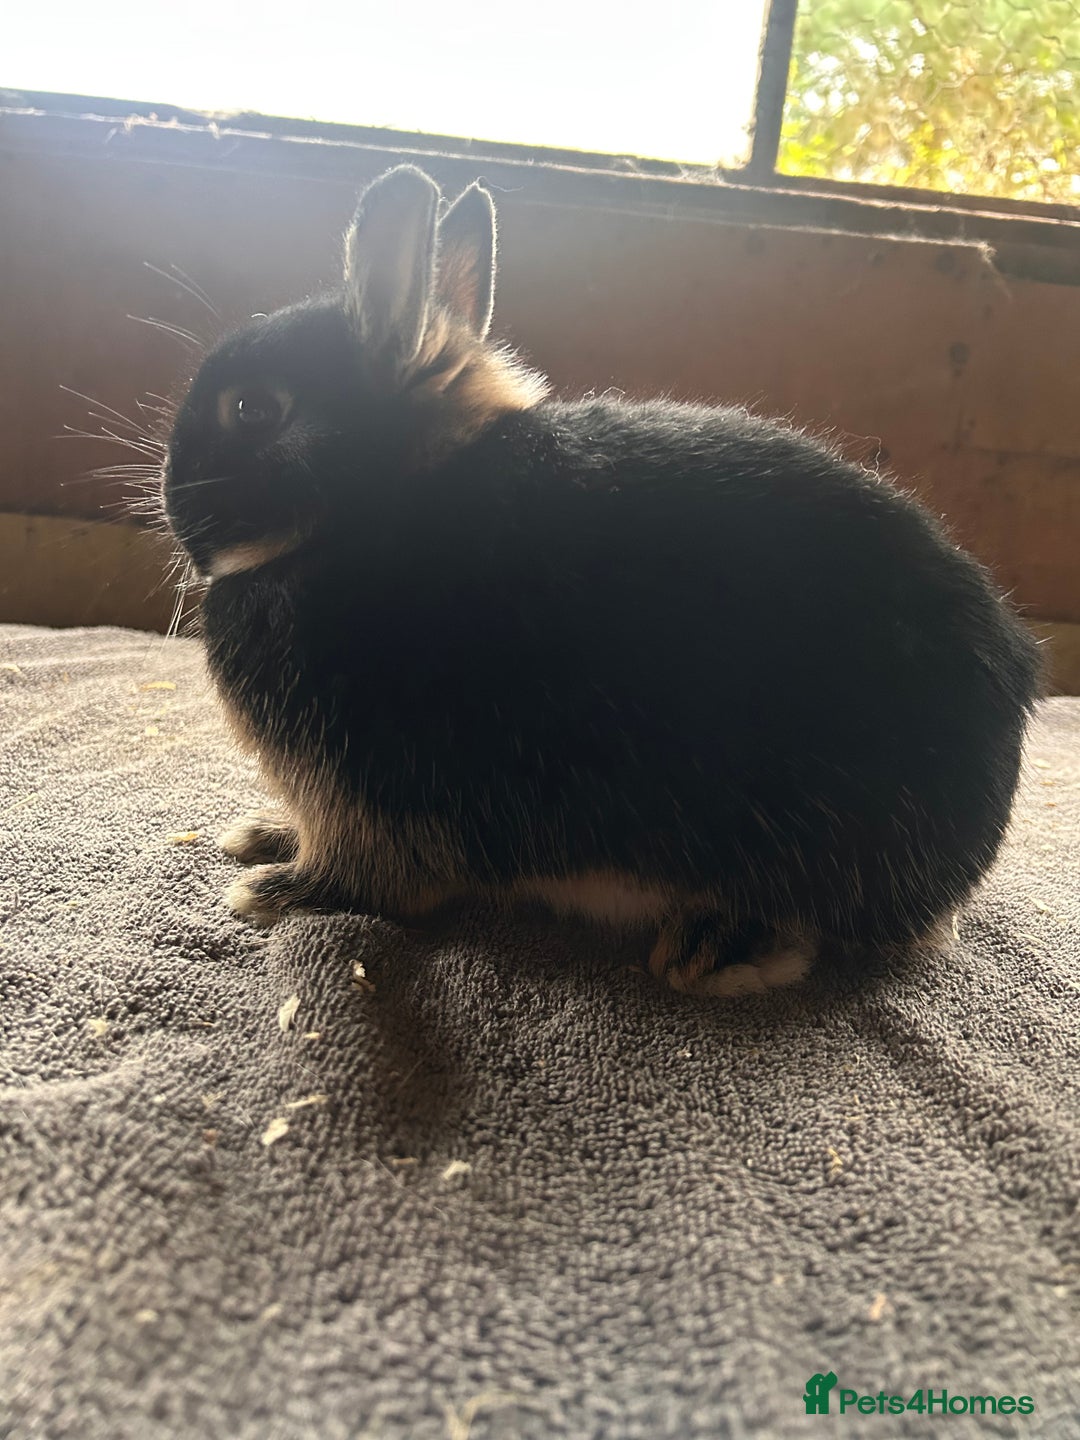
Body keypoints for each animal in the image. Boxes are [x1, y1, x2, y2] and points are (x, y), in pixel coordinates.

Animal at [163, 164, 1041, 998]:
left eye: (251, 410)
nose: (172, 509)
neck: (380, 505)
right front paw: (261, 837)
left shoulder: (377, 796)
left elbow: (370, 882)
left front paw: (272, 891)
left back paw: (710, 951)